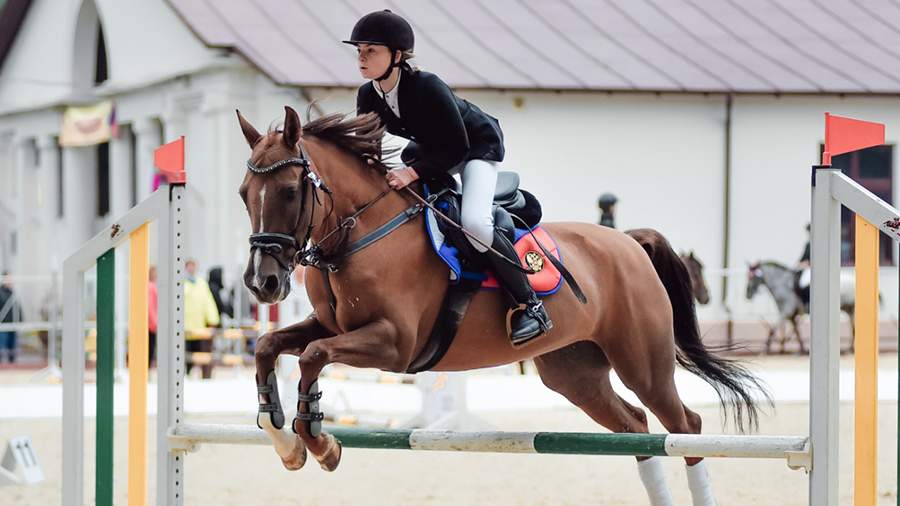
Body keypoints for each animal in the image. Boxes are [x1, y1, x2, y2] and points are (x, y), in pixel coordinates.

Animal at [237, 105, 768, 494]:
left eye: (289, 191)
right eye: (244, 193)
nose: (262, 283)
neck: (362, 232)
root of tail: (629, 243)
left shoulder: (395, 344)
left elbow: (312, 356)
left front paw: (320, 443)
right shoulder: (335, 327)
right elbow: (270, 347)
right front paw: (286, 442)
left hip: (643, 362)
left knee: (684, 426)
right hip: (575, 374)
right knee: (638, 428)